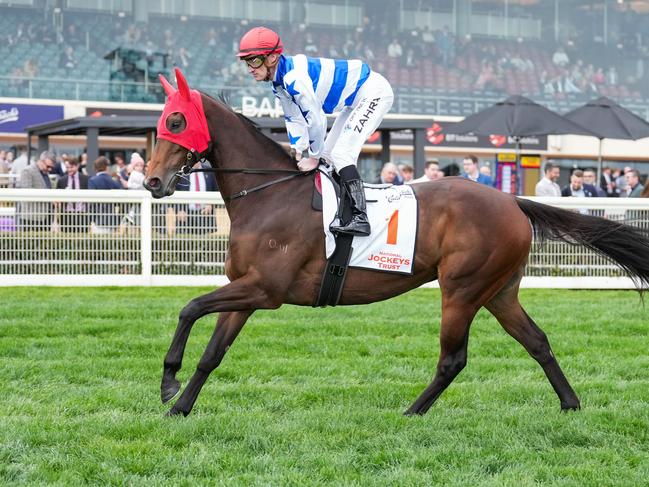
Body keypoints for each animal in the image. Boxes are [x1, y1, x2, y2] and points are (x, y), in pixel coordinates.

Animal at [144, 69, 648, 420]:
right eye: (161, 122)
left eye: (176, 120)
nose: (152, 182)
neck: (269, 194)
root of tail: (511, 200)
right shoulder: (247, 288)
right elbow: (213, 352)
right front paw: (180, 405)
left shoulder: (266, 289)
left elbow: (188, 307)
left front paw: (168, 383)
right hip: (499, 291)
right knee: (538, 341)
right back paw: (570, 403)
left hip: (462, 289)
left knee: (453, 359)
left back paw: (411, 411)